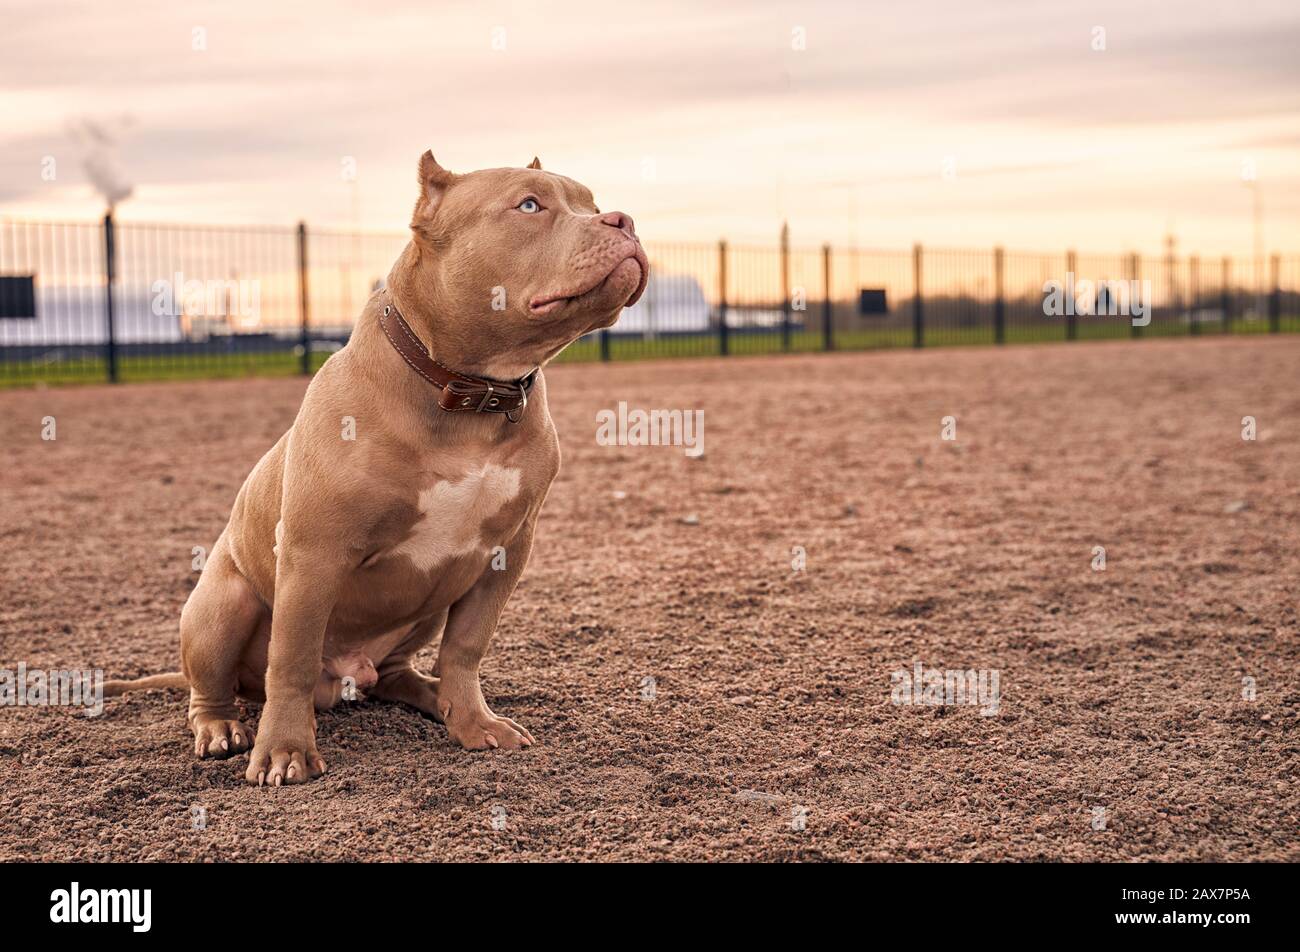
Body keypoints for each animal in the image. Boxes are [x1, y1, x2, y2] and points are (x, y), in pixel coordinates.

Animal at [107, 152, 650, 785]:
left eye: (592, 203)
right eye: (529, 205)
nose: (624, 220)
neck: (469, 393)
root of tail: (343, 680)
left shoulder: (506, 550)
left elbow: (466, 648)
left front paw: (474, 722)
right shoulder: (313, 554)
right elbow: (290, 659)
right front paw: (285, 750)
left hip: (425, 608)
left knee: (398, 672)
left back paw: (434, 696)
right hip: (222, 604)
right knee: (215, 686)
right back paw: (221, 728)